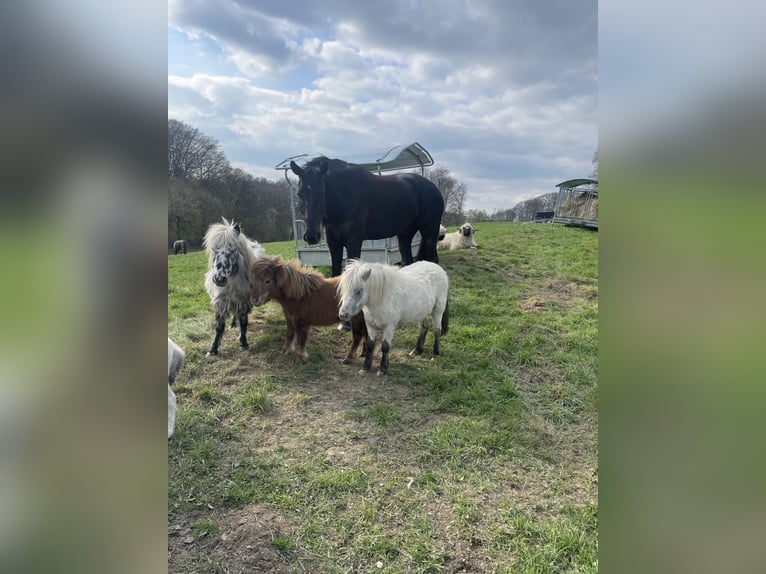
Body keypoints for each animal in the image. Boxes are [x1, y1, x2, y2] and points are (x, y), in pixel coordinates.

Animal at [204, 218, 268, 358]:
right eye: (215, 250)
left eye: (232, 251)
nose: (219, 279)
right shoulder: (221, 301)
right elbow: (219, 327)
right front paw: (213, 349)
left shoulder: (244, 300)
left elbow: (243, 322)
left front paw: (243, 343)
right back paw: (233, 324)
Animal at [290, 156, 448, 276]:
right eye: (299, 194)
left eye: (322, 193)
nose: (311, 236)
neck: (345, 197)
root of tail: (433, 187)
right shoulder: (334, 243)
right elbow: (335, 274)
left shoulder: (353, 241)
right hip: (405, 234)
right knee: (407, 261)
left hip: (429, 233)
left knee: (434, 260)